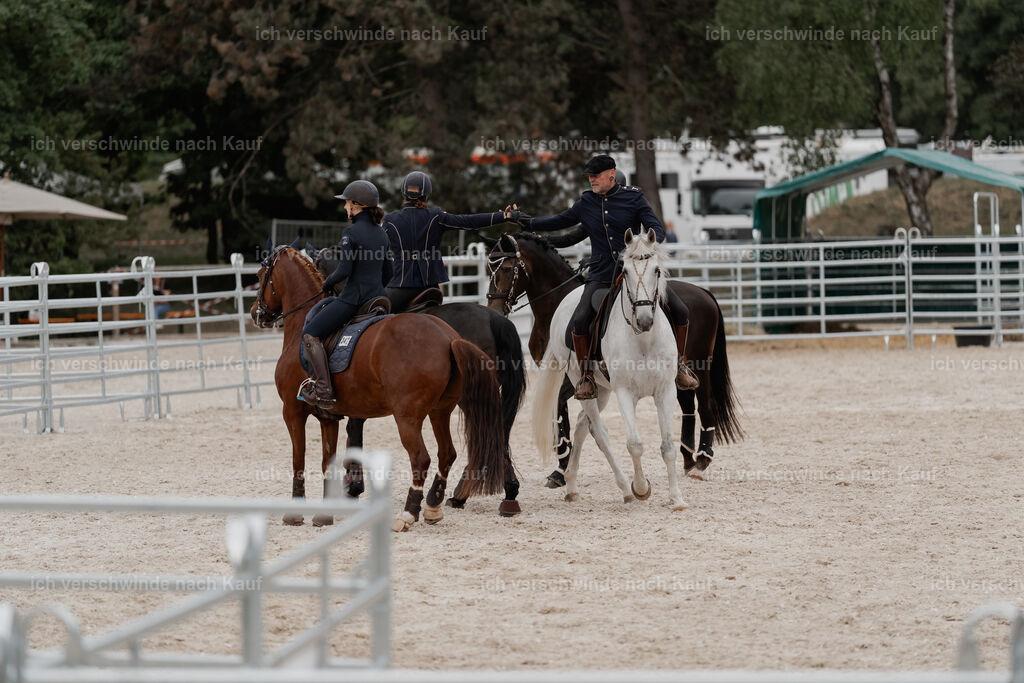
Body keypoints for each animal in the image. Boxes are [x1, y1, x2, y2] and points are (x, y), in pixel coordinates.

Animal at [486, 231, 742, 482]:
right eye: (490, 269)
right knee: (687, 405)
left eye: (506, 269)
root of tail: (704, 292)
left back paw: (702, 460)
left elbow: (560, 411)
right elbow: (562, 415)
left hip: (702, 366)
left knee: (706, 405)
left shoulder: (570, 381)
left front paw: (562, 465)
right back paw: (688, 458)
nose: (494, 309)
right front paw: (562, 466)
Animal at [531, 228, 684, 508]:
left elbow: (668, 446)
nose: (644, 320)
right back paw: (625, 488)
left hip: (601, 390)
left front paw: (676, 498)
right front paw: (641, 488)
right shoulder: (624, 392)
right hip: (584, 385)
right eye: (626, 271)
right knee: (599, 432)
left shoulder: (665, 391)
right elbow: (634, 444)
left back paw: (571, 485)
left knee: (584, 425)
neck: (643, 339)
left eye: (656, 270)